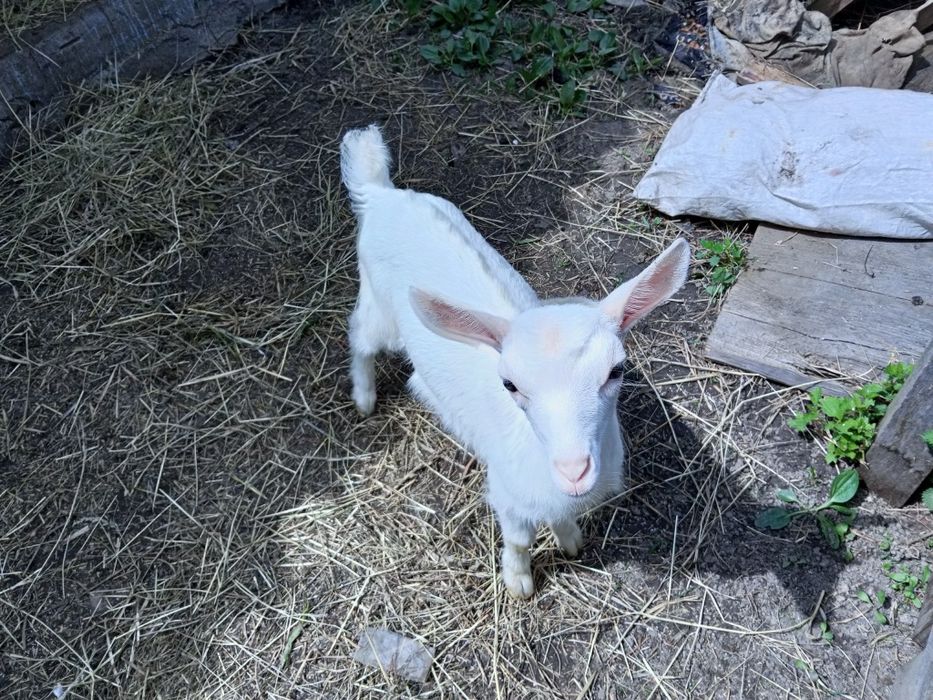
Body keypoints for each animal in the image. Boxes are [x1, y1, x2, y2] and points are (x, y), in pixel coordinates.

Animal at [341, 124, 690, 598]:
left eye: (616, 371)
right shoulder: (508, 493)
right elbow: (519, 539)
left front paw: (570, 541)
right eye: (510, 385)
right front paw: (519, 581)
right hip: (379, 307)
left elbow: (563, 518)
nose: (575, 471)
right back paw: (364, 397)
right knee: (360, 335)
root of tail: (380, 193)